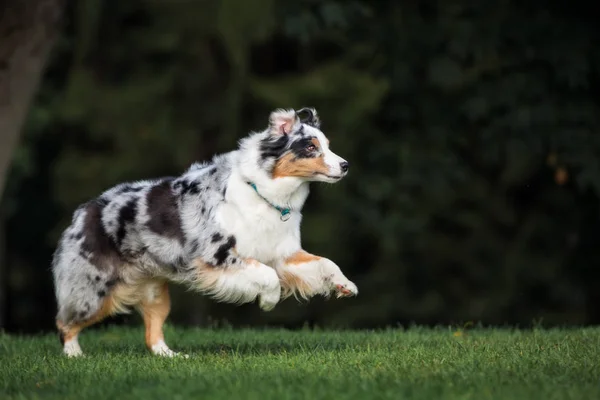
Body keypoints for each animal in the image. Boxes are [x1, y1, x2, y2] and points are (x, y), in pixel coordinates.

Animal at [51, 108, 356, 358]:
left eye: (327, 146)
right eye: (311, 147)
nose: (345, 165)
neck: (264, 191)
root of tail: (84, 211)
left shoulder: (282, 254)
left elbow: (325, 263)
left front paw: (345, 285)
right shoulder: (217, 255)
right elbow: (269, 277)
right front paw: (269, 302)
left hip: (154, 293)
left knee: (152, 332)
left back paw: (171, 356)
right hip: (94, 290)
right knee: (64, 322)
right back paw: (74, 355)